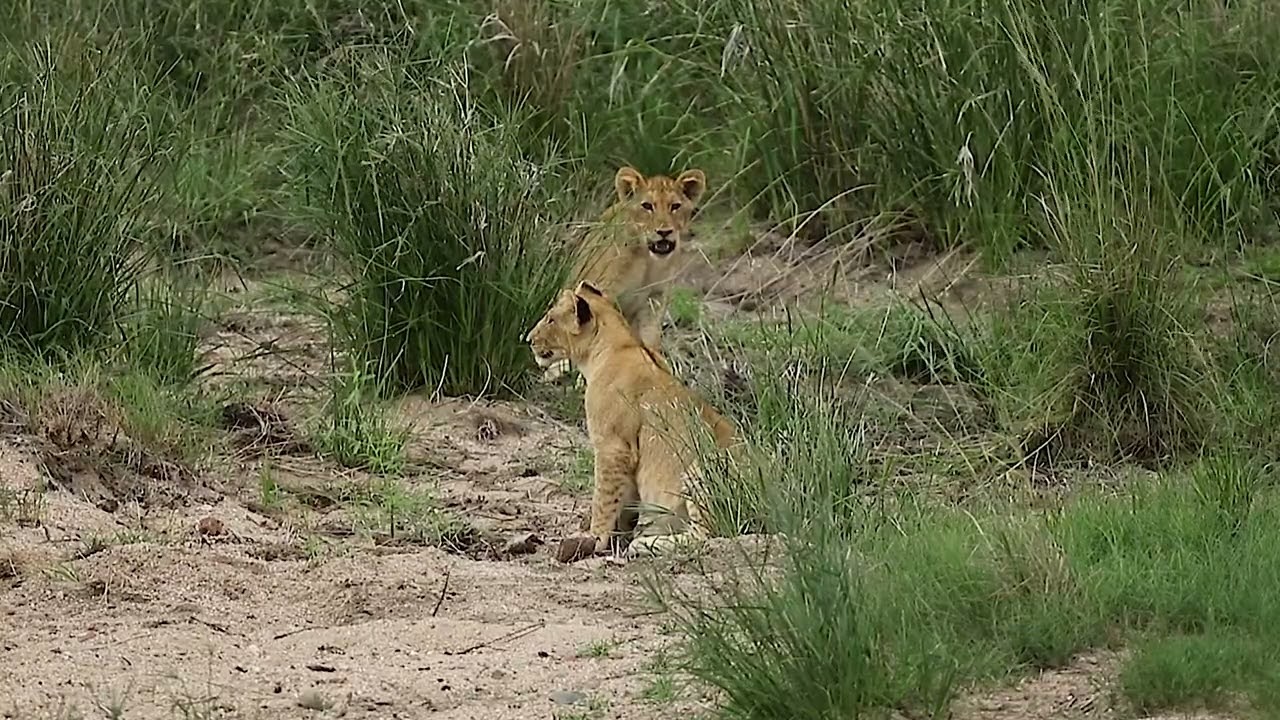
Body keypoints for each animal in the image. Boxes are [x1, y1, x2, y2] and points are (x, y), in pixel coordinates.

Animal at [527, 281, 740, 561]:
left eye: (551, 318)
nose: (528, 340)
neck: (616, 345)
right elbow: (625, 502)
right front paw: (617, 536)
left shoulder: (613, 446)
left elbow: (603, 499)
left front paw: (594, 538)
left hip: (699, 469)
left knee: (706, 536)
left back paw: (644, 544)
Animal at [537, 165, 707, 383]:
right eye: (647, 206)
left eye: (675, 206)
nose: (664, 232)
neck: (646, 257)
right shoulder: (604, 289)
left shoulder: (655, 298)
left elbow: (650, 337)